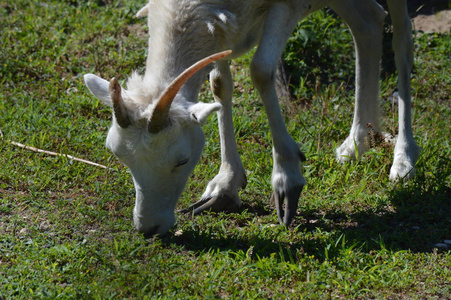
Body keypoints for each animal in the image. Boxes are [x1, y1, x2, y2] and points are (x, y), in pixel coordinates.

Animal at [84, 0, 420, 237]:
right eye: (118, 154)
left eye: (182, 160)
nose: (149, 227)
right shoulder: (223, 25)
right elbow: (219, 84)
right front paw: (224, 187)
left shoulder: (288, 5)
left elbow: (260, 70)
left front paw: (287, 182)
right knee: (369, 21)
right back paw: (356, 143)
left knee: (402, 37)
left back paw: (403, 160)